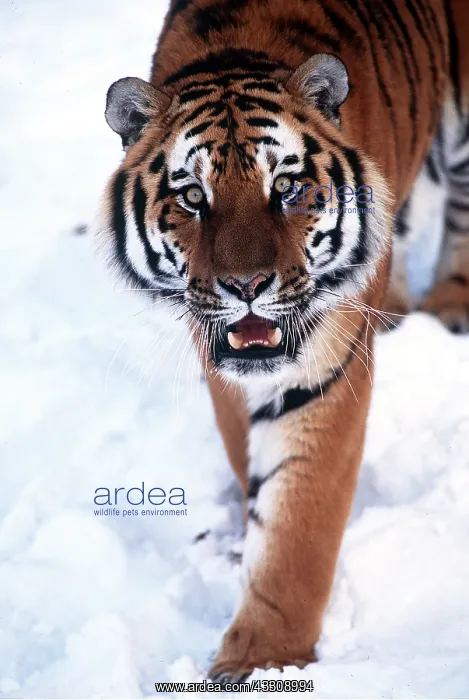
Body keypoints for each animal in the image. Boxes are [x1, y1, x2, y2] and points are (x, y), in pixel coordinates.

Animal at [96, 0, 469, 684]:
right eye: (193, 196)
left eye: (288, 189)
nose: (246, 287)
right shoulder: (218, 356)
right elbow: (248, 457)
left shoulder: (326, 368)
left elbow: (299, 523)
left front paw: (260, 661)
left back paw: (450, 301)